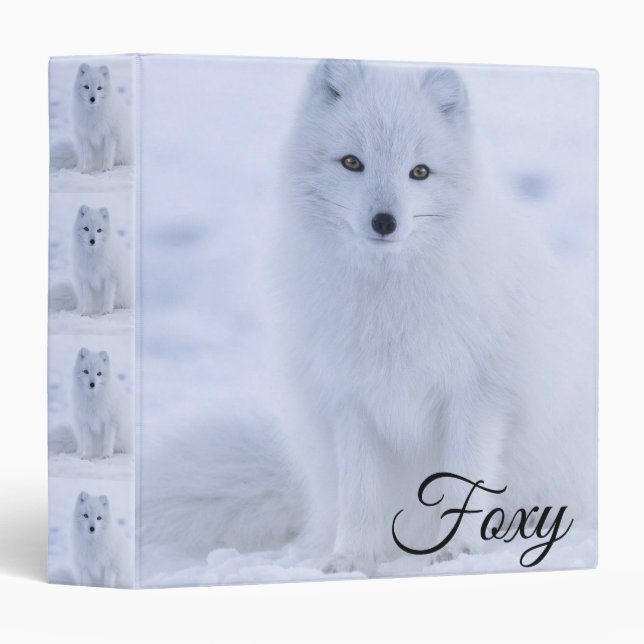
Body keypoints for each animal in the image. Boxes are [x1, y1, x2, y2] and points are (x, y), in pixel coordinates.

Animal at [143, 61, 596, 575]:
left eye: (419, 171)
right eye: (352, 163)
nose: (385, 221)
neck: (389, 303)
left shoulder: (478, 393)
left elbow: (465, 478)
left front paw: (458, 551)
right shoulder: (350, 400)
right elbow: (360, 495)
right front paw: (352, 558)